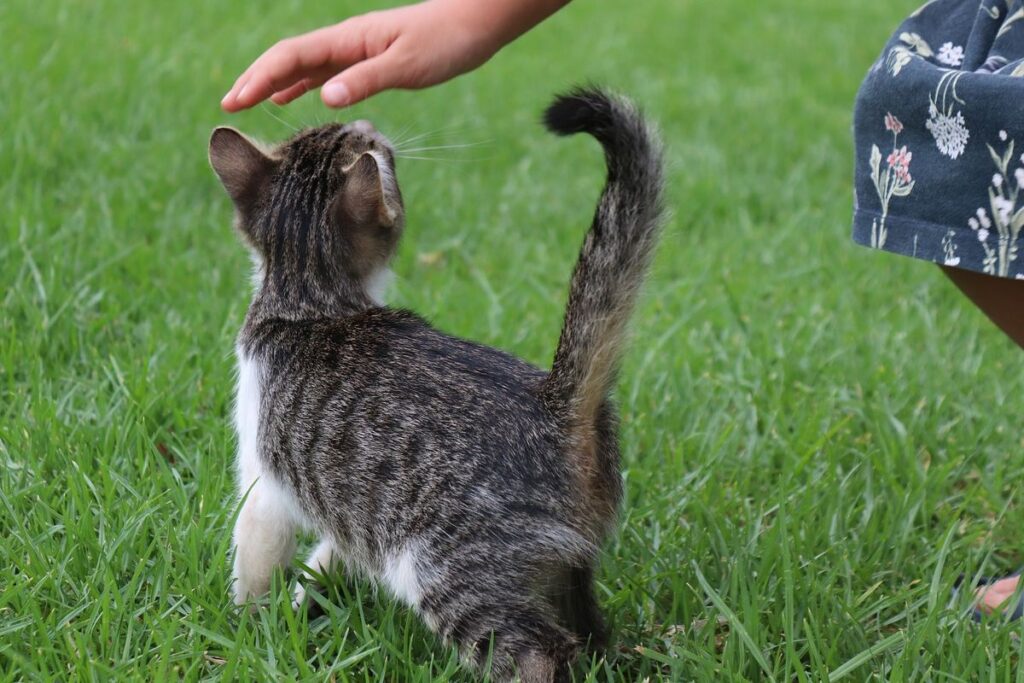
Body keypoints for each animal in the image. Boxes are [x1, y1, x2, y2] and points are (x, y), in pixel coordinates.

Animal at [211, 88, 667, 679]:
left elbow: (255, 550)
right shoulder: (364, 509)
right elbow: (334, 552)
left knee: (541, 652)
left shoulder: (263, 476)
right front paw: (306, 599)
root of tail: (556, 407)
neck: (311, 299)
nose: (366, 119)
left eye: (377, 147)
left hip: (444, 567)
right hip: (566, 565)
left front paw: (248, 626)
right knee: (589, 636)